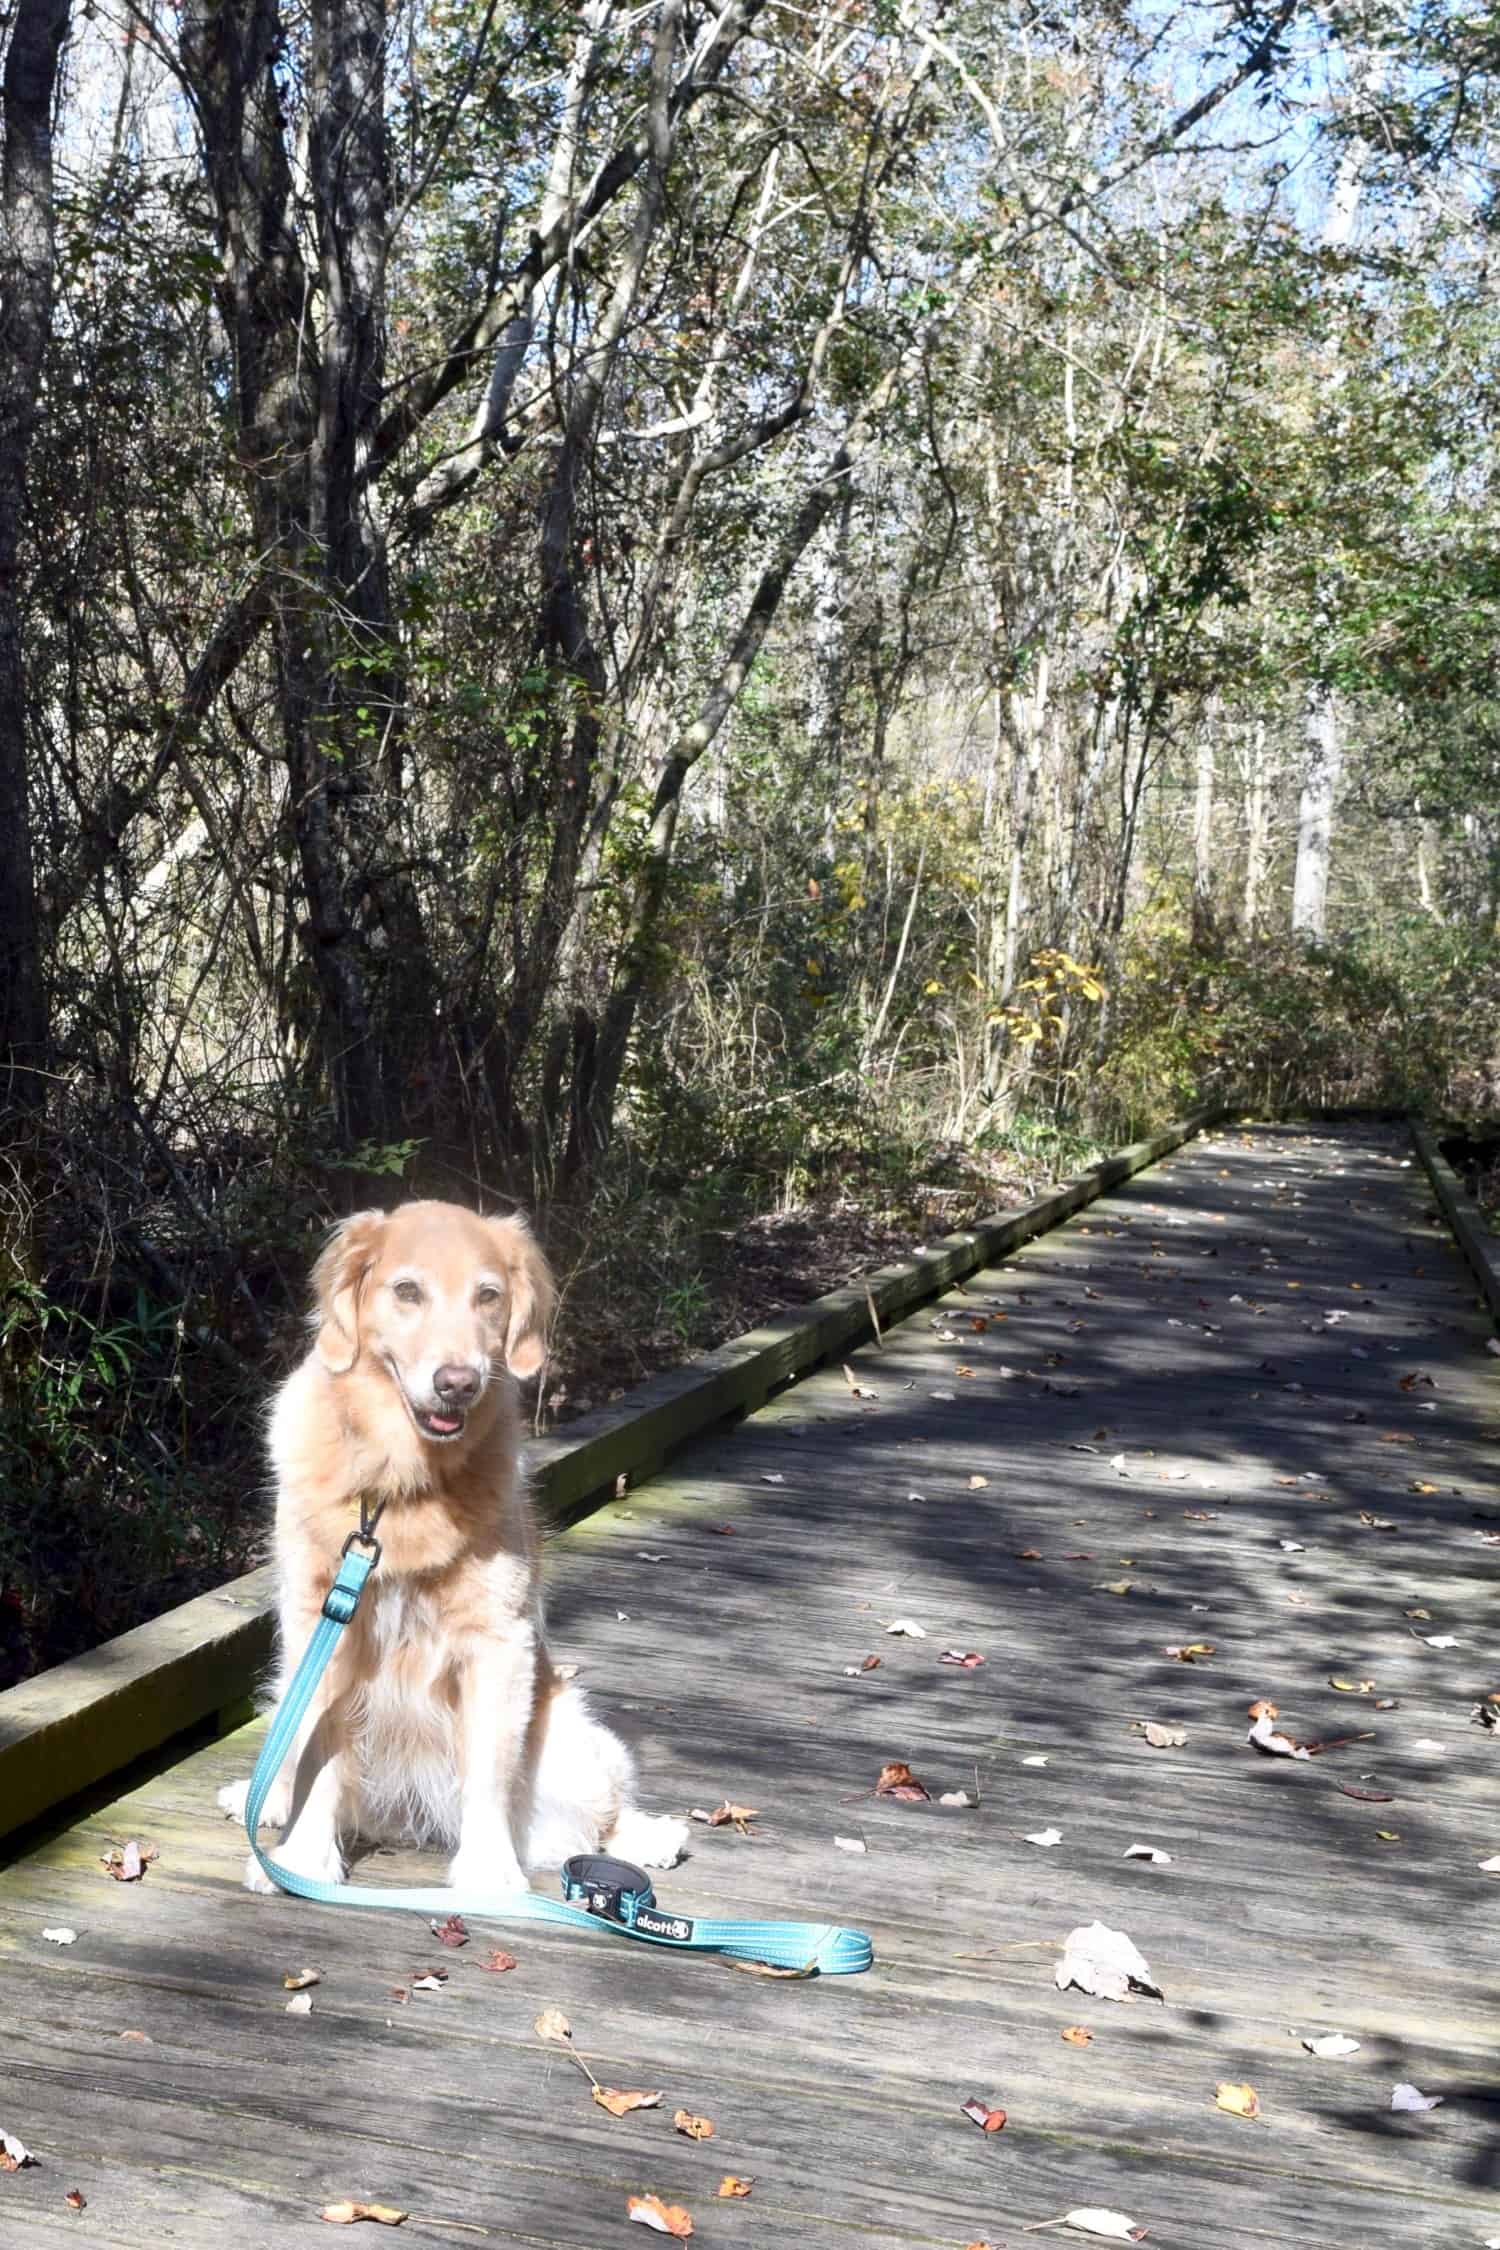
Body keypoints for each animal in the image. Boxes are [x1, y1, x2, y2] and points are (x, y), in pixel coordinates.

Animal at [220, 1206, 688, 1890]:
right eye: (407, 1291)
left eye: (488, 1296)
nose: (458, 1383)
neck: (398, 1484)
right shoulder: (318, 1623)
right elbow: (315, 1756)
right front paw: (302, 1857)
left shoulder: (498, 1640)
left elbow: (488, 1773)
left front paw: (489, 1872)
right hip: (287, 1678)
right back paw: (265, 1800)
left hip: (568, 1739)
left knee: (594, 1817)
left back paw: (650, 1837)